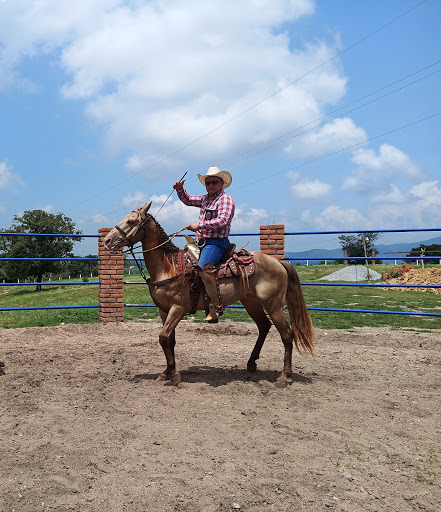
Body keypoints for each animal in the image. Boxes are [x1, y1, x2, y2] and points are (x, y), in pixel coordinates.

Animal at [103, 202, 312, 386]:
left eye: (131, 221)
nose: (107, 241)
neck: (169, 267)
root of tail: (279, 263)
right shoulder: (164, 310)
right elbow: (169, 340)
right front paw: (167, 372)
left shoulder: (178, 308)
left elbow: (163, 337)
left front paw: (174, 375)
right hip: (251, 302)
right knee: (264, 326)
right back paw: (252, 363)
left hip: (274, 305)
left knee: (287, 335)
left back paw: (284, 376)